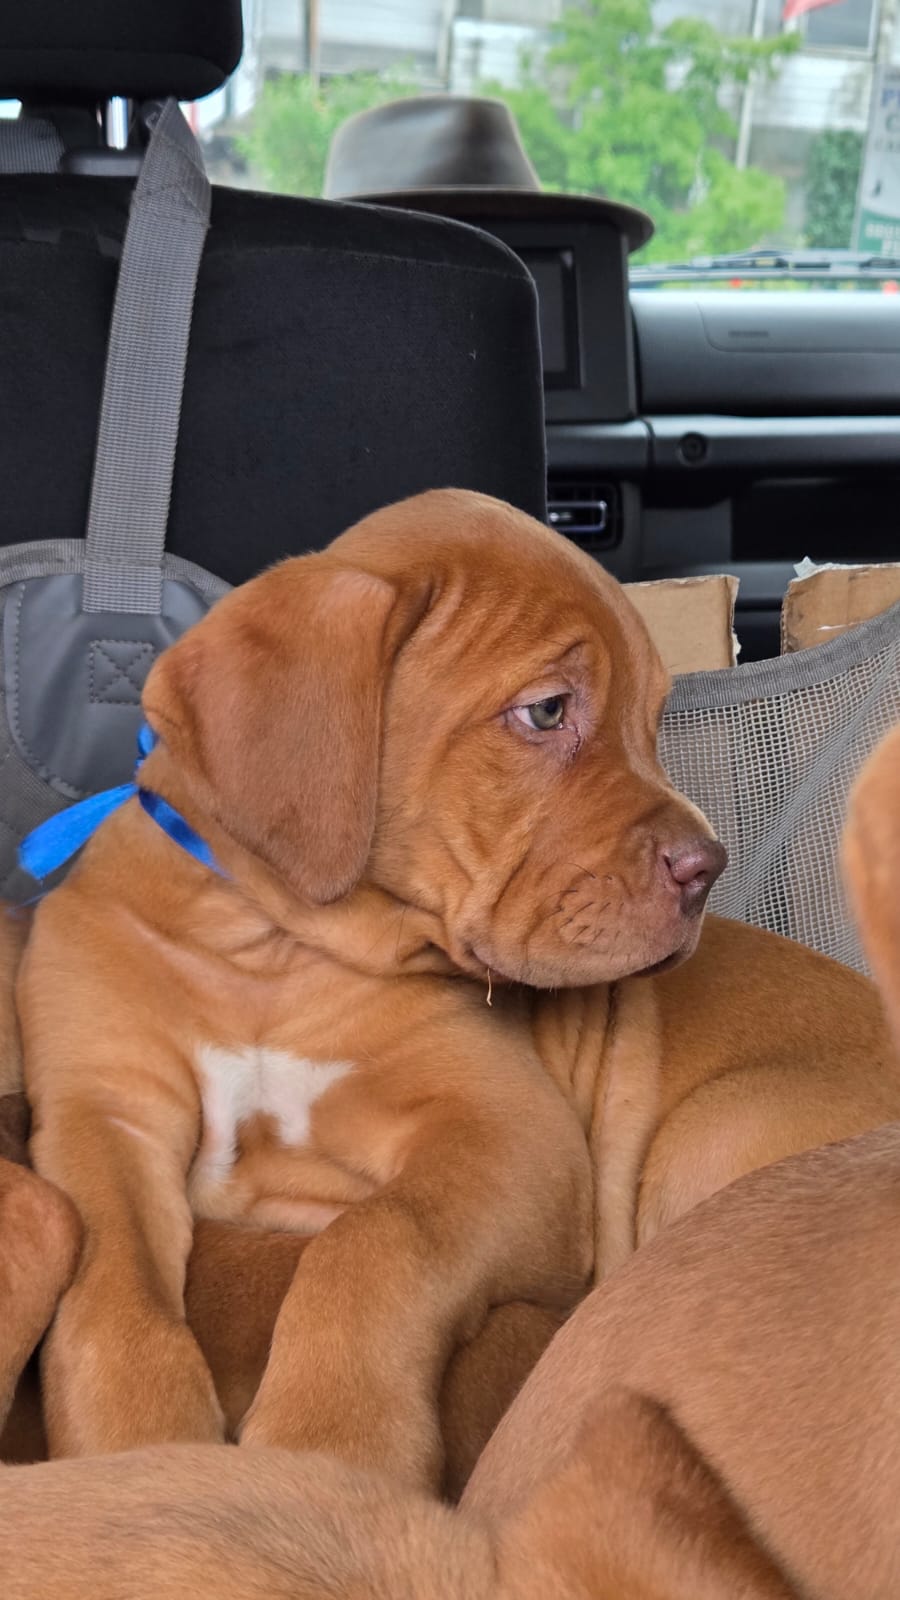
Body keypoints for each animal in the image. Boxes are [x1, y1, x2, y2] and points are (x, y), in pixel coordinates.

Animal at [17, 490, 900, 1489]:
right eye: (547, 711)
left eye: (654, 719)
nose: (706, 870)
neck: (274, 953)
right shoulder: (103, 1117)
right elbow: (110, 1281)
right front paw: (134, 1443)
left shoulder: (511, 1136)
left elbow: (374, 1240)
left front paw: (333, 1444)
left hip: (716, 1132)